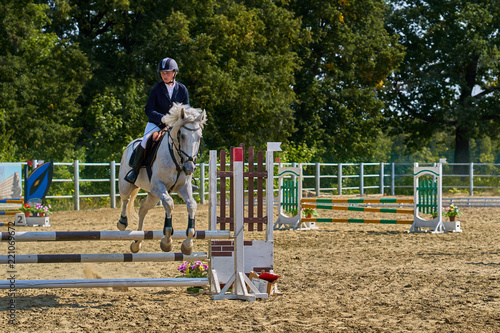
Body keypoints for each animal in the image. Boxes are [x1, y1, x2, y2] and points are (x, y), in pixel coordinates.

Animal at [117, 104, 207, 254]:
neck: (177, 159)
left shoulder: (183, 187)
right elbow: (169, 204)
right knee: (126, 199)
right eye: (182, 136)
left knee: (143, 208)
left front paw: (187, 244)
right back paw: (123, 222)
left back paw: (137, 243)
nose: (189, 168)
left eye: (199, 137)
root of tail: (130, 145)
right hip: (128, 185)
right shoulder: (158, 185)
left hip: (153, 195)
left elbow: (191, 205)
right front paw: (166, 241)